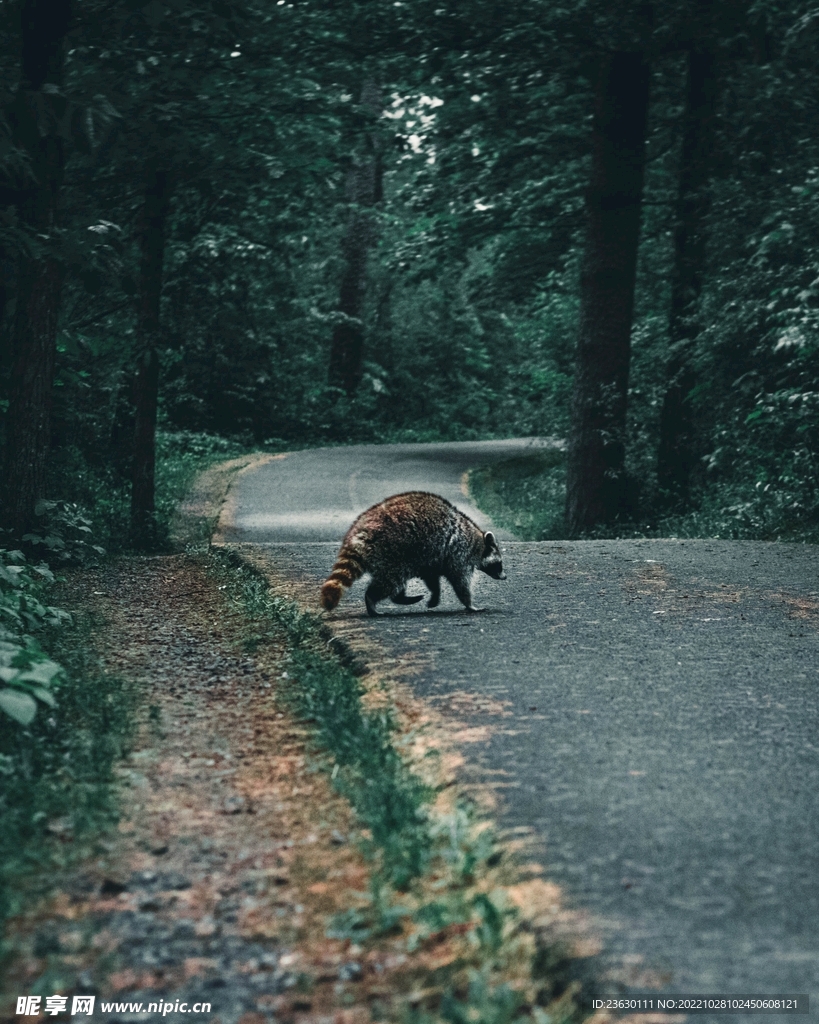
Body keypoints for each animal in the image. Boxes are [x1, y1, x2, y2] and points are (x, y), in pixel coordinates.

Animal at [319, 489, 505, 614]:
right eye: (499, 563)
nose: (505, 577)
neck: (478, 541)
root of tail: (360, 531)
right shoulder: (460, 553)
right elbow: (460, 582)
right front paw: (469, 604)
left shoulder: (434, 556)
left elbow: (432, 577)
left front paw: (435, 595)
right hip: (392, 551)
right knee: (390, 581)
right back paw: (371, 599)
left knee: (394, 582)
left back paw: (400, 598)